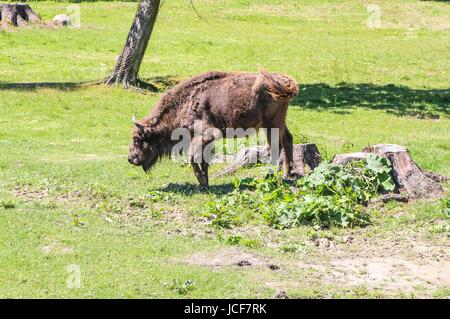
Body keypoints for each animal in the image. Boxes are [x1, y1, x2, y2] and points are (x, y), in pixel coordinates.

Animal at [127, 71, 298, 186]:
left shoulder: (208, 134)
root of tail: (285, 82)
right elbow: (203, 159)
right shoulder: (205, 140)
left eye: (138, 139)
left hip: (271, 124)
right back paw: (287, 173)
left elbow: (192, 156)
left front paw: (202, 181)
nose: (131, 158)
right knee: (287, 140)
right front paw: (205, 183)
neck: (184, 103)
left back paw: (272, 176)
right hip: (277, 122)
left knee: (276, 146)